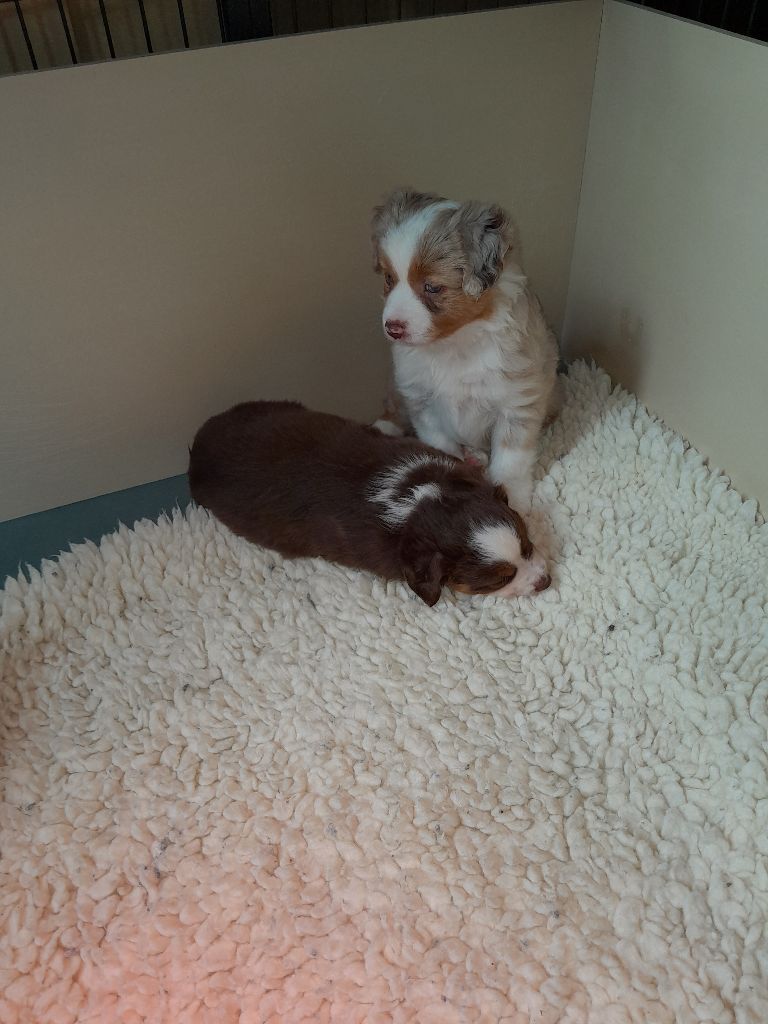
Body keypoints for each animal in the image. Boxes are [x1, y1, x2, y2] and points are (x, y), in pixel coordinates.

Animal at [188, 401, 551, 606]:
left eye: (528, 546)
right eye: (500, 580)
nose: (545, 582)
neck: (418, 498)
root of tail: (196, 447)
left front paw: (474, 457)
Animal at [371, 188, 561, 511]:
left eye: (433, 287)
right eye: (388, 279)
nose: (393, 328)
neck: (454, 344)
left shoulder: (518, 401)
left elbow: (511, 462)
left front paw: (515, 502)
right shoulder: (422, 400)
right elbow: (441, 444)